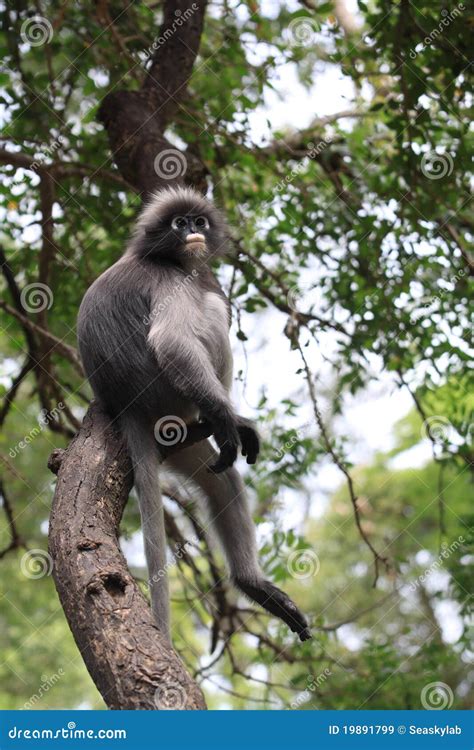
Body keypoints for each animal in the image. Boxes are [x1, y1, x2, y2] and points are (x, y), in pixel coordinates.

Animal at [77, 186, 311, 643]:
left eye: (198, 222)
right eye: (178, 224)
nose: (192, 232)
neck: (163, 258)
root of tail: (128, 407)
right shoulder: (171, 282)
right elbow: (172, 342)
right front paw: (230, 420)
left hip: (173, 435)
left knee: (221, 481)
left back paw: (251, 584)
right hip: (172, 401)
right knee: (214, 309)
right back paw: (224, 420)